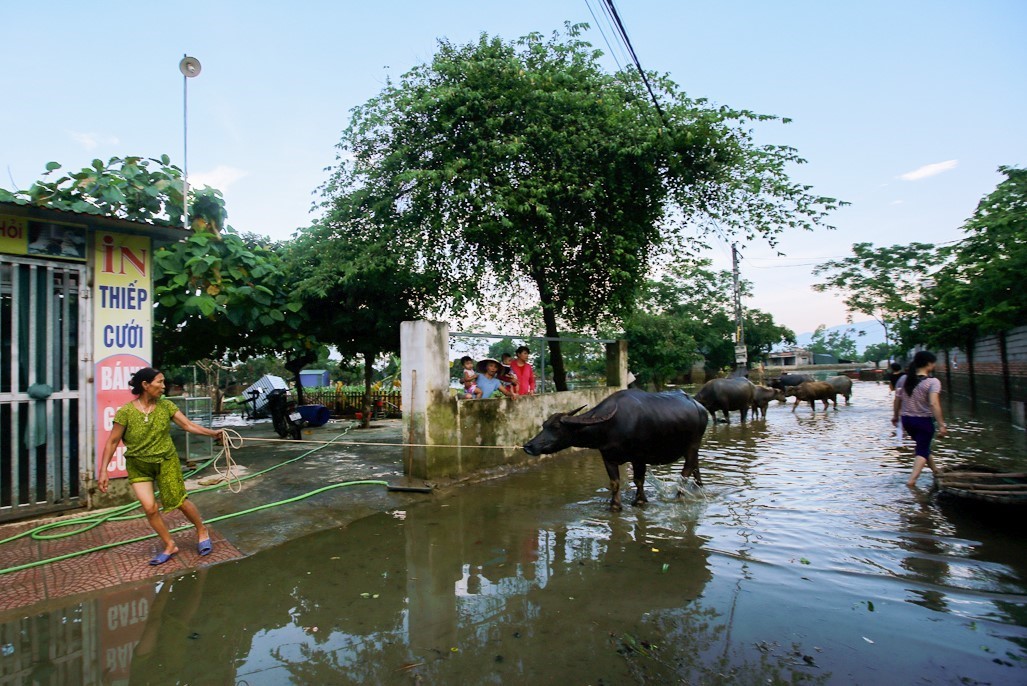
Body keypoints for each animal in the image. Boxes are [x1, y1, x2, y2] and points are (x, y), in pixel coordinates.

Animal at [521, 390, 706, 509]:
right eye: (544, 425)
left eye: (556, 427)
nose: (528, 446)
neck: (611, 426)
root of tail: (700, 407)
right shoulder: (608, 457)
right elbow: (615, 482)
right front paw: (615, 505)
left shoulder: (639, 458)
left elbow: (638, 480)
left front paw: (640, 501)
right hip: (692, 449)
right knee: (696, 467)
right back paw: (698, 488)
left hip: (692, 445)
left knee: (686, 471)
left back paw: (679, 496)